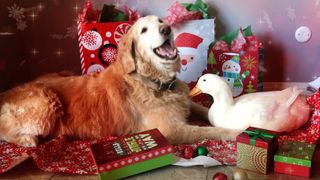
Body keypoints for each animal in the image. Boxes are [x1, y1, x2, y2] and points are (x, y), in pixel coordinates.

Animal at [0, 16, 240, 147]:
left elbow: (202, 108)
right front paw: (237, 133)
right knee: (4, 130)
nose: (167, 29)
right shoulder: (170, 130)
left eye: (161, 22)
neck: (153, 81)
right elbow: (205, 131)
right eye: (144, 30)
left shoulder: (184, 100)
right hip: (46, 102)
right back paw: (26, 140)